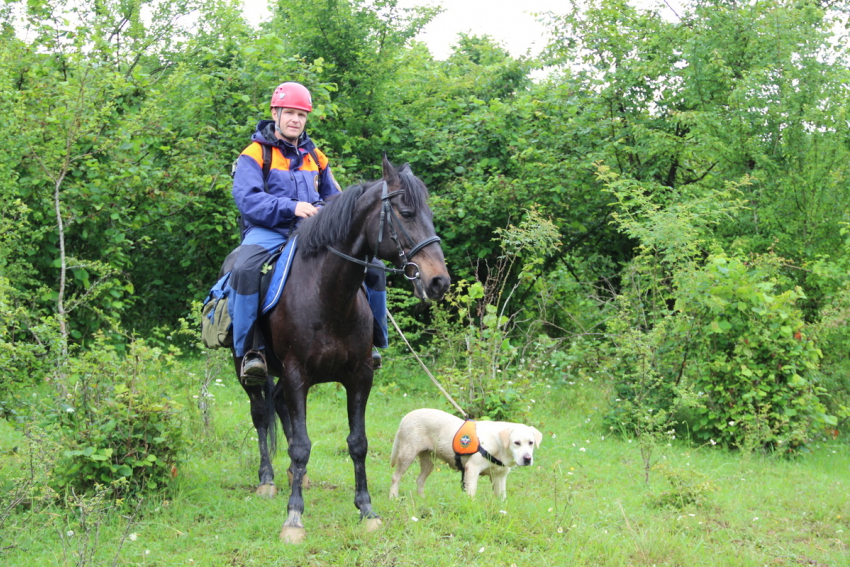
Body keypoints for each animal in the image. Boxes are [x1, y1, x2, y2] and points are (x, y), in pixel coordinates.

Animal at [225, 156, 450, 544]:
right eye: (406, 213)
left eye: (429, 213)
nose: (439, 281)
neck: (327, 294)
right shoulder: (297, 373)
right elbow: (301, 445)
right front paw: (294, 517)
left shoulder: (359, 375)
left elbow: (357, 443)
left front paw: (367, 510)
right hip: (249, 369)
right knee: (261, 414)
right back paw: (267, 479)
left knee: (278, 405)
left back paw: (292, 475)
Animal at [388, 410, 540, 500]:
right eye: (516, 443)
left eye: (531, 443)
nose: (527, 459)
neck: (499, 445)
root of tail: (407, 416)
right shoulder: (472, 469)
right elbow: (471, 493)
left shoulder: (500, 476)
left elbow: (501, 497)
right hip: (407, 454)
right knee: (396, 477)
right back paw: (393, 496)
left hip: (428, 461)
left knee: (420, 480)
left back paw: (422, 498)